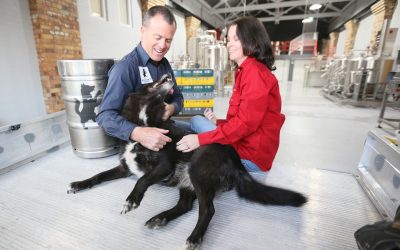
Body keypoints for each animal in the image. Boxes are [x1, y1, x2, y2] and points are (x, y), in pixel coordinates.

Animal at [68, 73, 306, 249]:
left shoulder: (163, 167)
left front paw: (131, 200)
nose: (167, 75)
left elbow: (142, 181)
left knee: (207, 210)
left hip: (198, 168)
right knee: (185, 205)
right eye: (147, 84)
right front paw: (79, 184)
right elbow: (98, 175)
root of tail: (234, 156)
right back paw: (160, 218)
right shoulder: (124, 168)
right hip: (187, 182)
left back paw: (193, 238)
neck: (146, 123)